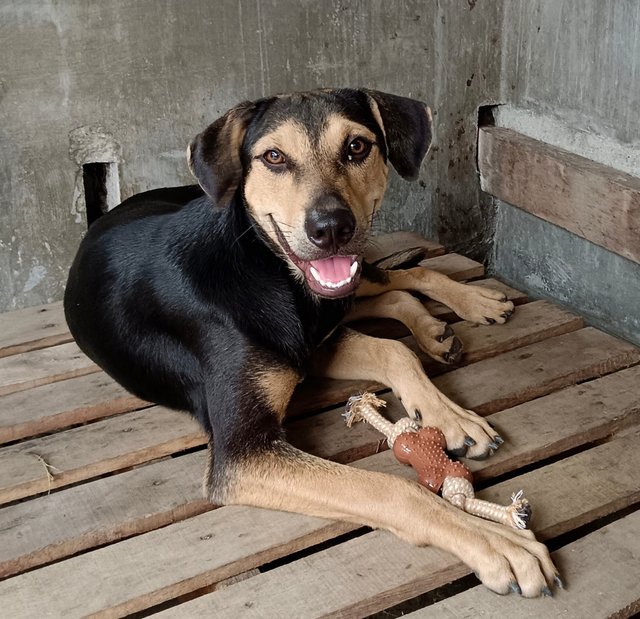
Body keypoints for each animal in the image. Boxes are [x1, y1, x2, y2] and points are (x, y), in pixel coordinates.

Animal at [62, 89, 556, 600]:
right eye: (273, 157)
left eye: (357, 147)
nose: (331, 228)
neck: (267, 270)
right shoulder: (244, 451)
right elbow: (388, 487)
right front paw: (495, 541)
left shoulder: (314, 341)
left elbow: (393, 349)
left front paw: (451, 416)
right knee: (390, 294)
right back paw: (436, 329)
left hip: (350, 286)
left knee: (402, 279)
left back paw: (468, 306)